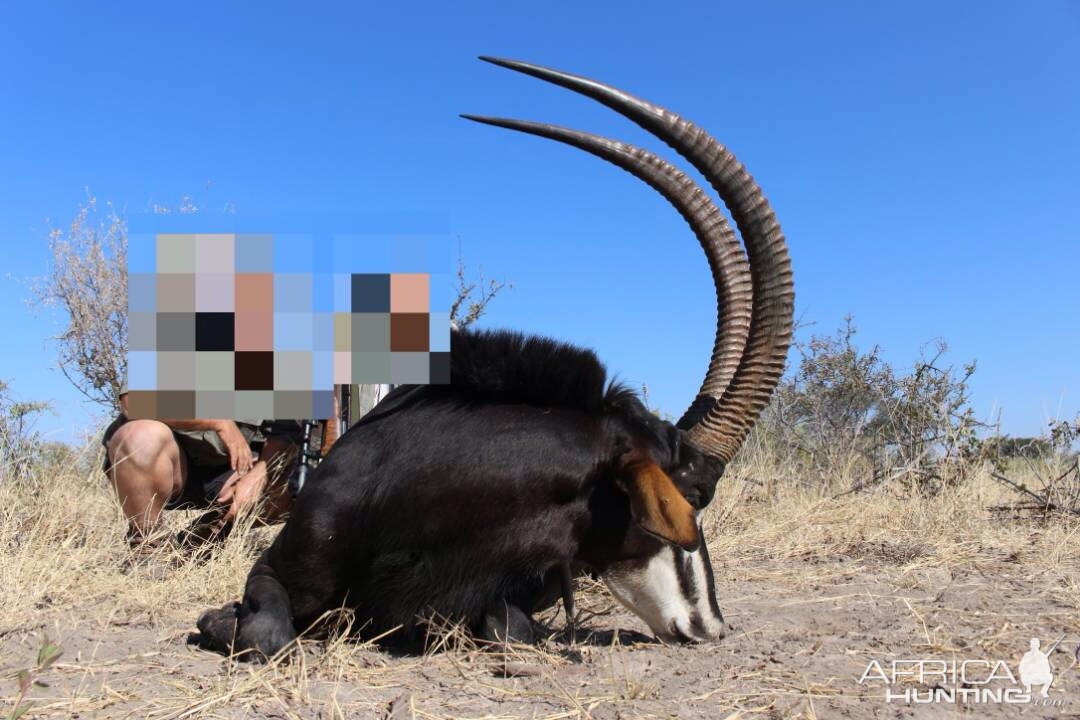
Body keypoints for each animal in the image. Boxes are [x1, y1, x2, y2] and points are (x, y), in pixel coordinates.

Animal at [196, 57, 794, 660]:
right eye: (693, 496)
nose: (711, 626)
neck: (418, 500)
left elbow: (509, 626)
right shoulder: (273, 569)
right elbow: (261, 634)